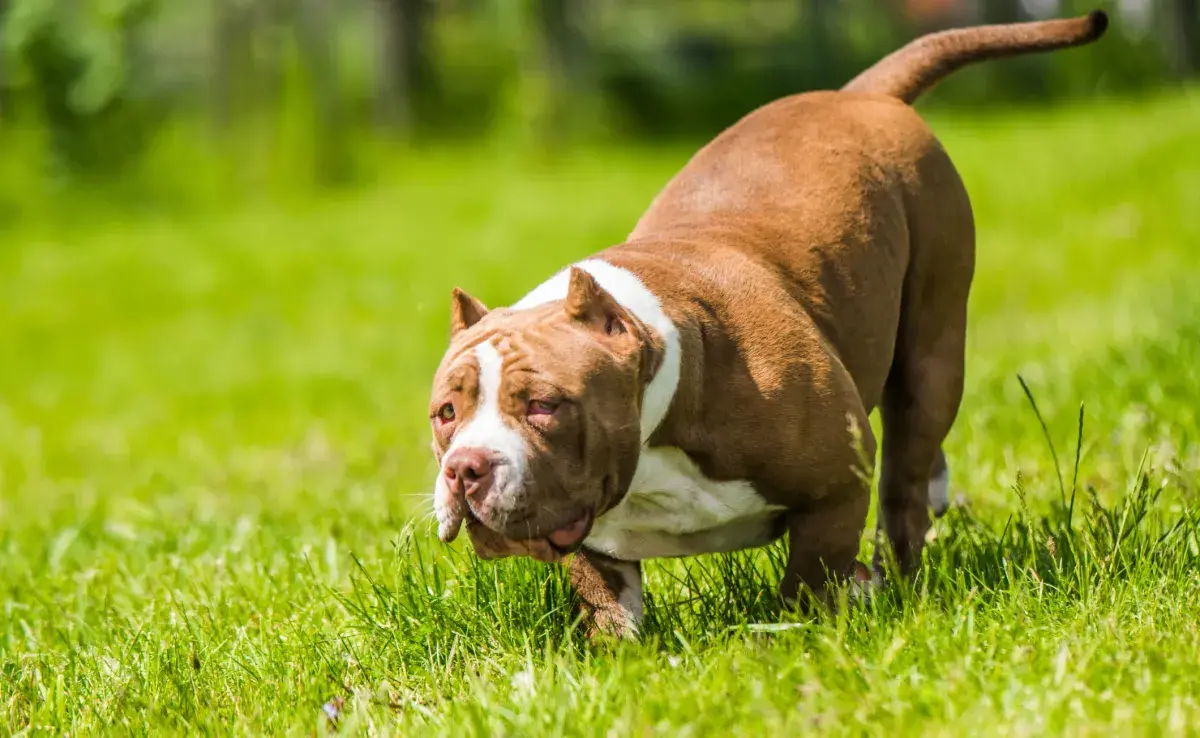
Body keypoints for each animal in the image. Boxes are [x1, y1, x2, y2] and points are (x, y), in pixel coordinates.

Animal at [427, 8, 1108, 638]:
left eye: (546, 404)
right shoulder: (594, 538)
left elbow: (812, 575)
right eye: (446, 414)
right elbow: (608, 607)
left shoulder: (836, 484)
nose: (464, 468)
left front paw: (802, 634)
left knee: (904, 478)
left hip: (932, 341)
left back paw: (895, 573)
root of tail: (862, 94)